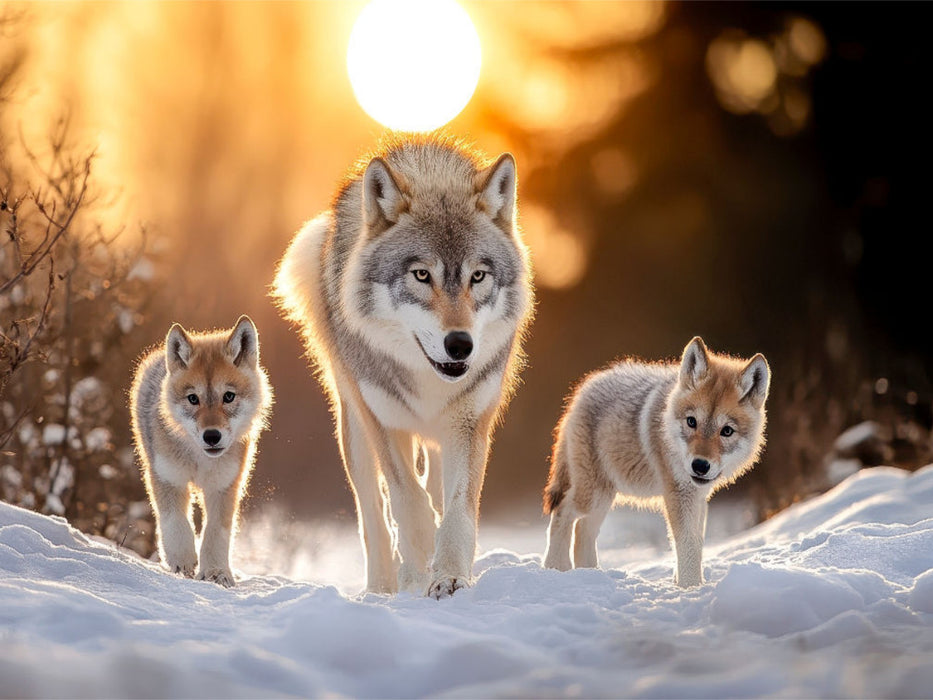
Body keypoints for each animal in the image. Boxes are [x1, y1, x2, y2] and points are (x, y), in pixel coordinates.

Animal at [130, 316, 272, 587]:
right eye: (193, 399)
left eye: (228, 396)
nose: (212, 436)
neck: (200, 460)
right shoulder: (167, 478)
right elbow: (176, 523)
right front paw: (182, 561)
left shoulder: (223, 487)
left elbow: (216, 534)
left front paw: (216, 572)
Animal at [273, 134, 533, 598]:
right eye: (421, 275)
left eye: (478, 276)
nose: (460, 345)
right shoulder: (385, 422)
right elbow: (408, 503)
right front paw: (420, 565)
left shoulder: (470, 423)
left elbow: (458, 511)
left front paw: (449, 576)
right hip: (355, 432)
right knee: (375, 517)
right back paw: (385, 586)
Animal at [542, 337, 770, 587]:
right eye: (692, 422)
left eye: (727, 431)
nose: (700, 466)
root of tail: (580, 393)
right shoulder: (679, 496)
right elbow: (688, 545)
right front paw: (690, 588)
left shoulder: (699, 498)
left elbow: (697, 544)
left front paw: (687, 584)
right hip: (592, 496)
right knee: (562, 513)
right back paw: (556, 568)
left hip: (604, 497)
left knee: (583, 530)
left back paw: (592, 575)